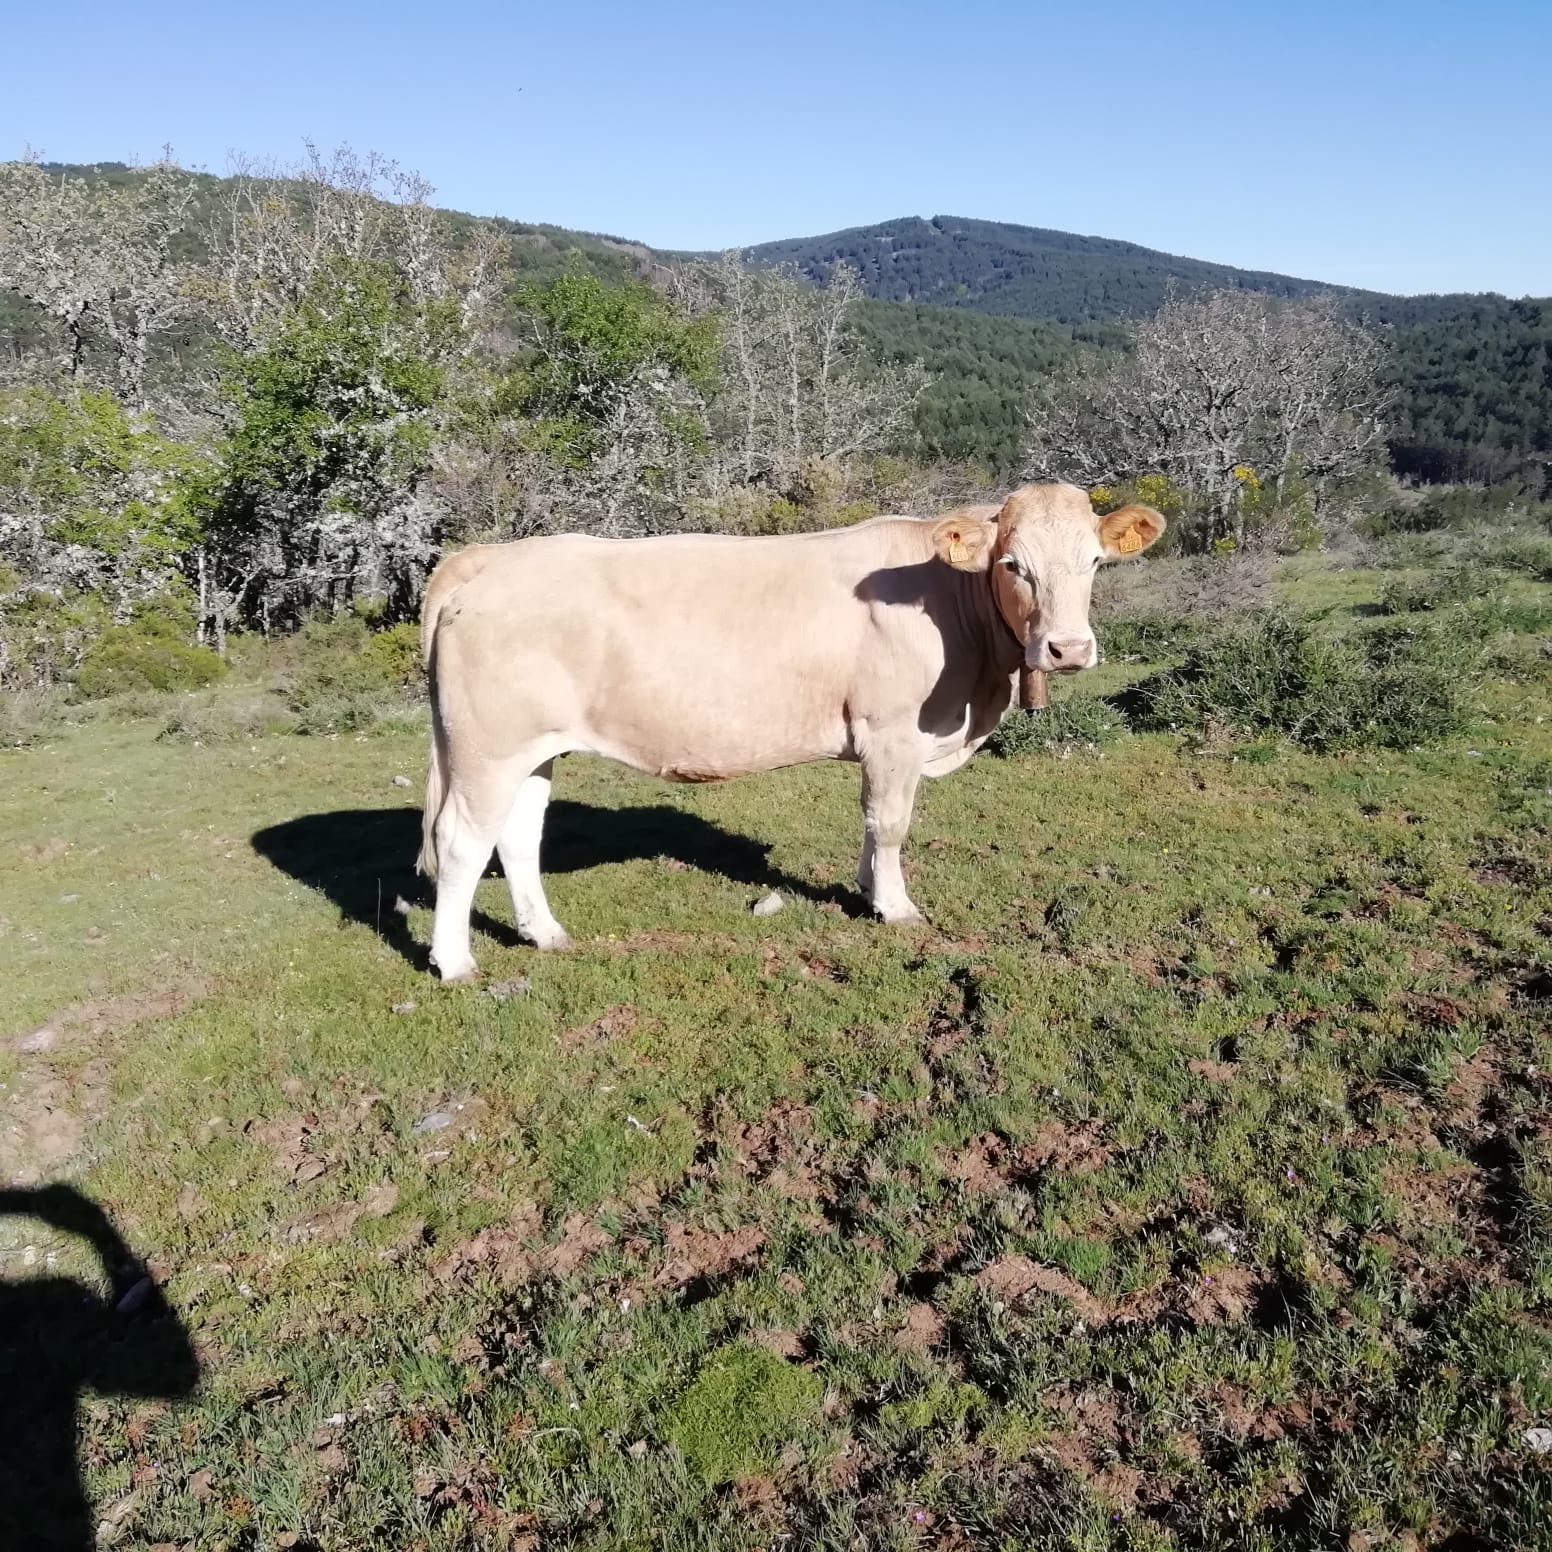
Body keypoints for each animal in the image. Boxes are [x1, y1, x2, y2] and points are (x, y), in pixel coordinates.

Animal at [419, 478, 1160, 974]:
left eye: (1095, 562)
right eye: (1013, 565)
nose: (1069, 649)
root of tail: (491, 557)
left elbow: (870, 821)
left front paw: (867, 887)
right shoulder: (892, 729)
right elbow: (892, 821)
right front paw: (897, 907)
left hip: (534, 748)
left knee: (517, 835)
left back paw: (544, 933)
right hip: (487, 748)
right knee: (461, 841)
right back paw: (453, 962)